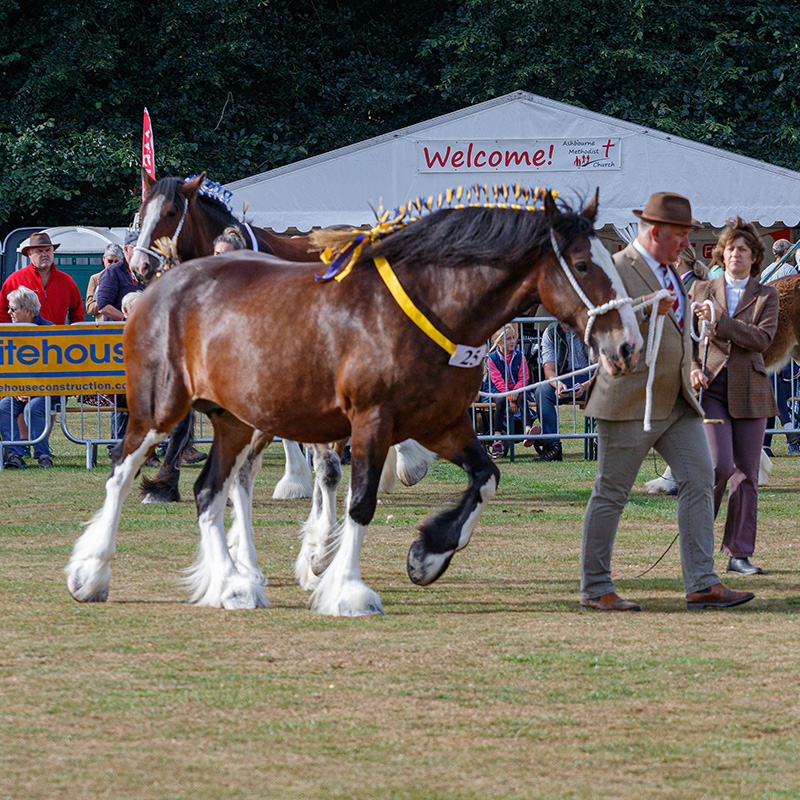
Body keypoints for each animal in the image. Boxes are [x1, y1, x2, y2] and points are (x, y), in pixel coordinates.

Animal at [128, 174, 434, 500]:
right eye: (142, 212)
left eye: (171, 212)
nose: (140, 266)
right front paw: (163, 484)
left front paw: (294, 479)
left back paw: (408, 462)